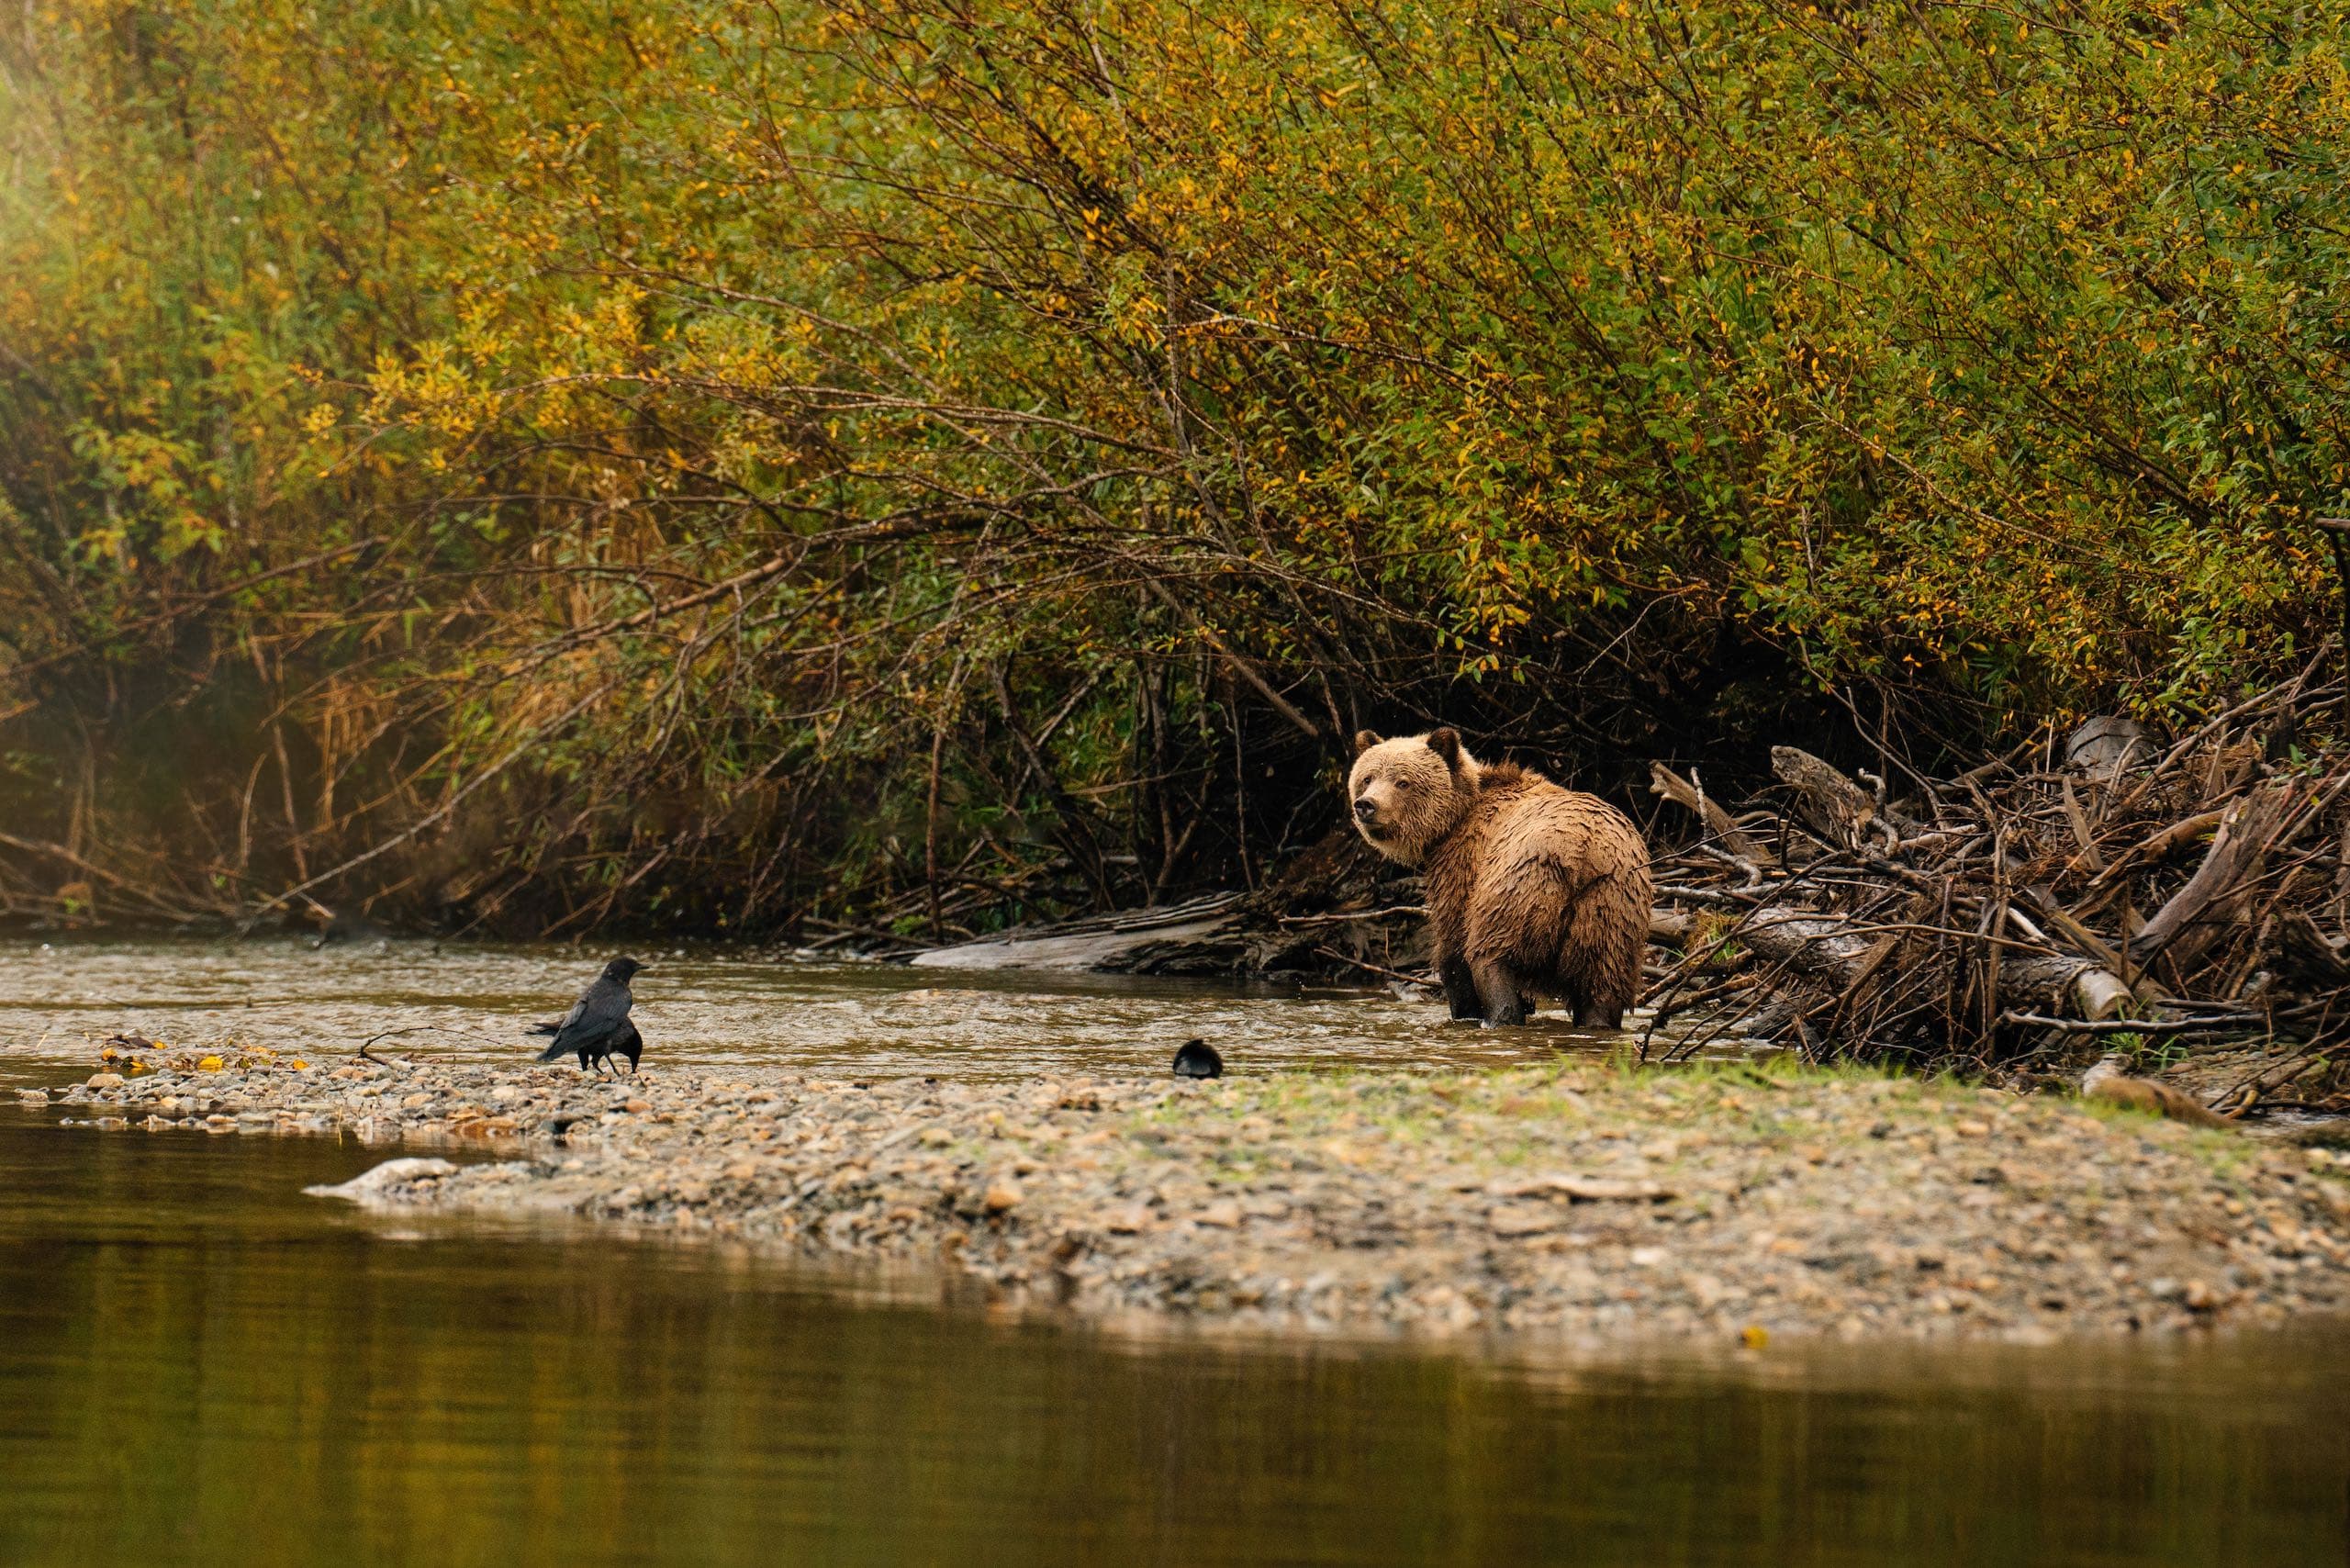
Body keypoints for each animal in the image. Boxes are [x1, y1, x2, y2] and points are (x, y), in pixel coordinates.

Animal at [1347, 728, 1652, 1028]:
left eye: (1402, 782)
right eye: (1367, 778)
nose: (1366, 805)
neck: (1455, 819)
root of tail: (1581, 852)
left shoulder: (1463, 863)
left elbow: (1453, 944)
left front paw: (1464, 1009)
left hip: (1519, 885)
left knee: (1491, 957)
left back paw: (1498, 1016)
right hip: (1611, 908)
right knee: (1603, 982)